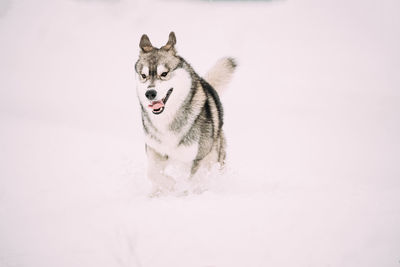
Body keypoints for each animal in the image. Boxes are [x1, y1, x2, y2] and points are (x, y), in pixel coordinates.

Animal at [134, 31, 236, 195]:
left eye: (164, 73)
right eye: (143, 76)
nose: (150, 93)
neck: (168, 120)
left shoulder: (198, 158)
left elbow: (192, 181)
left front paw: (180, 189)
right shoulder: (156, 151)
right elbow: (152, 173)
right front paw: (171, 185)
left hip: (215, 156)